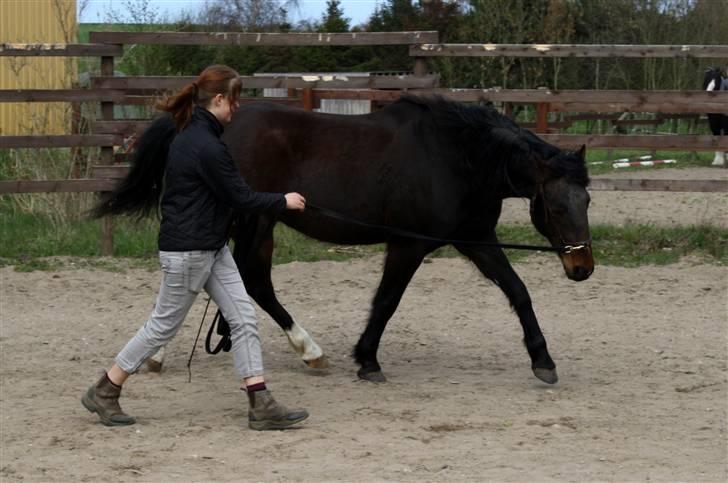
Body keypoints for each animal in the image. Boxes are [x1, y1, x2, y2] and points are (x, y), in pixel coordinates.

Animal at [96, 96, 596, 386]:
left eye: (587, 199)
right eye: (555, 207)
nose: (582, 268)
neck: (455, 157)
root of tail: (206, 128)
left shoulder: (474, 239)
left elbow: (518, 291)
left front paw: (543, 361)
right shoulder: (408, 245)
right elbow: (386, 302)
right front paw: (367, 360)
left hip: (256, 223)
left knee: (246, 281)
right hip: (250, 219)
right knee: (237, 279)